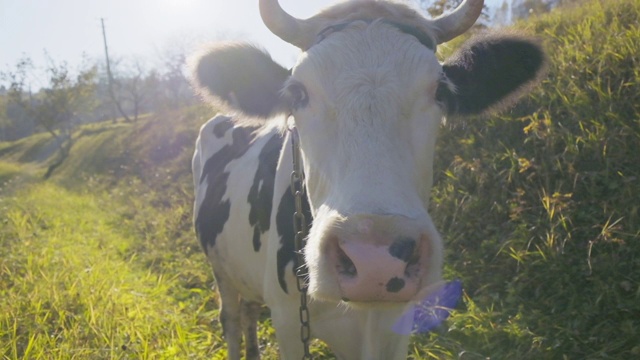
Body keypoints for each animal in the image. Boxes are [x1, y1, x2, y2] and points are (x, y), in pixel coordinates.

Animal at [190, 0, 544, 358]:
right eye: (297, 93)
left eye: (440, 91)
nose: (375, 261)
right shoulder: (289, 318)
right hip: (220, 269)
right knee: (231, 318)